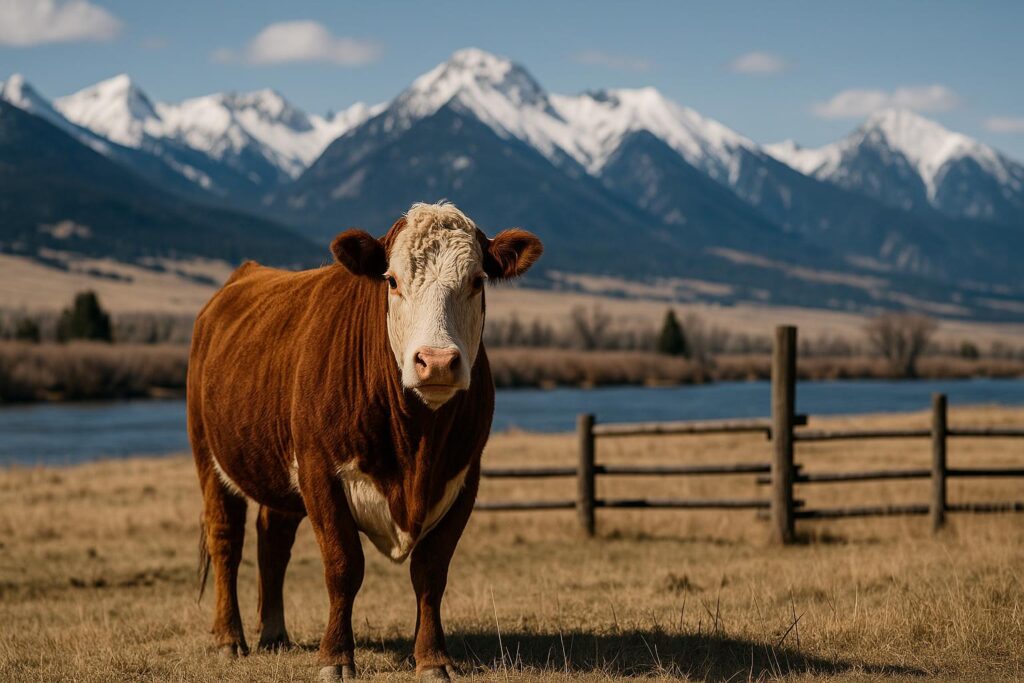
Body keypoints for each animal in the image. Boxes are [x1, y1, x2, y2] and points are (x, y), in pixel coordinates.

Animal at [188, 202, 542, 681]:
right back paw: (229, 638)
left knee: (273, 539)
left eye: (476, 281)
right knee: (226, 538)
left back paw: (275, 634)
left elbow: (431, 571)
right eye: (392, 280)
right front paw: (336, 657)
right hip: (208, 456)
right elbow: (343, 565)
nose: (436, 362)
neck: (415, 446)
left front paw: (432, 659)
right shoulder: (319, 471)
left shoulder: (464, 476)